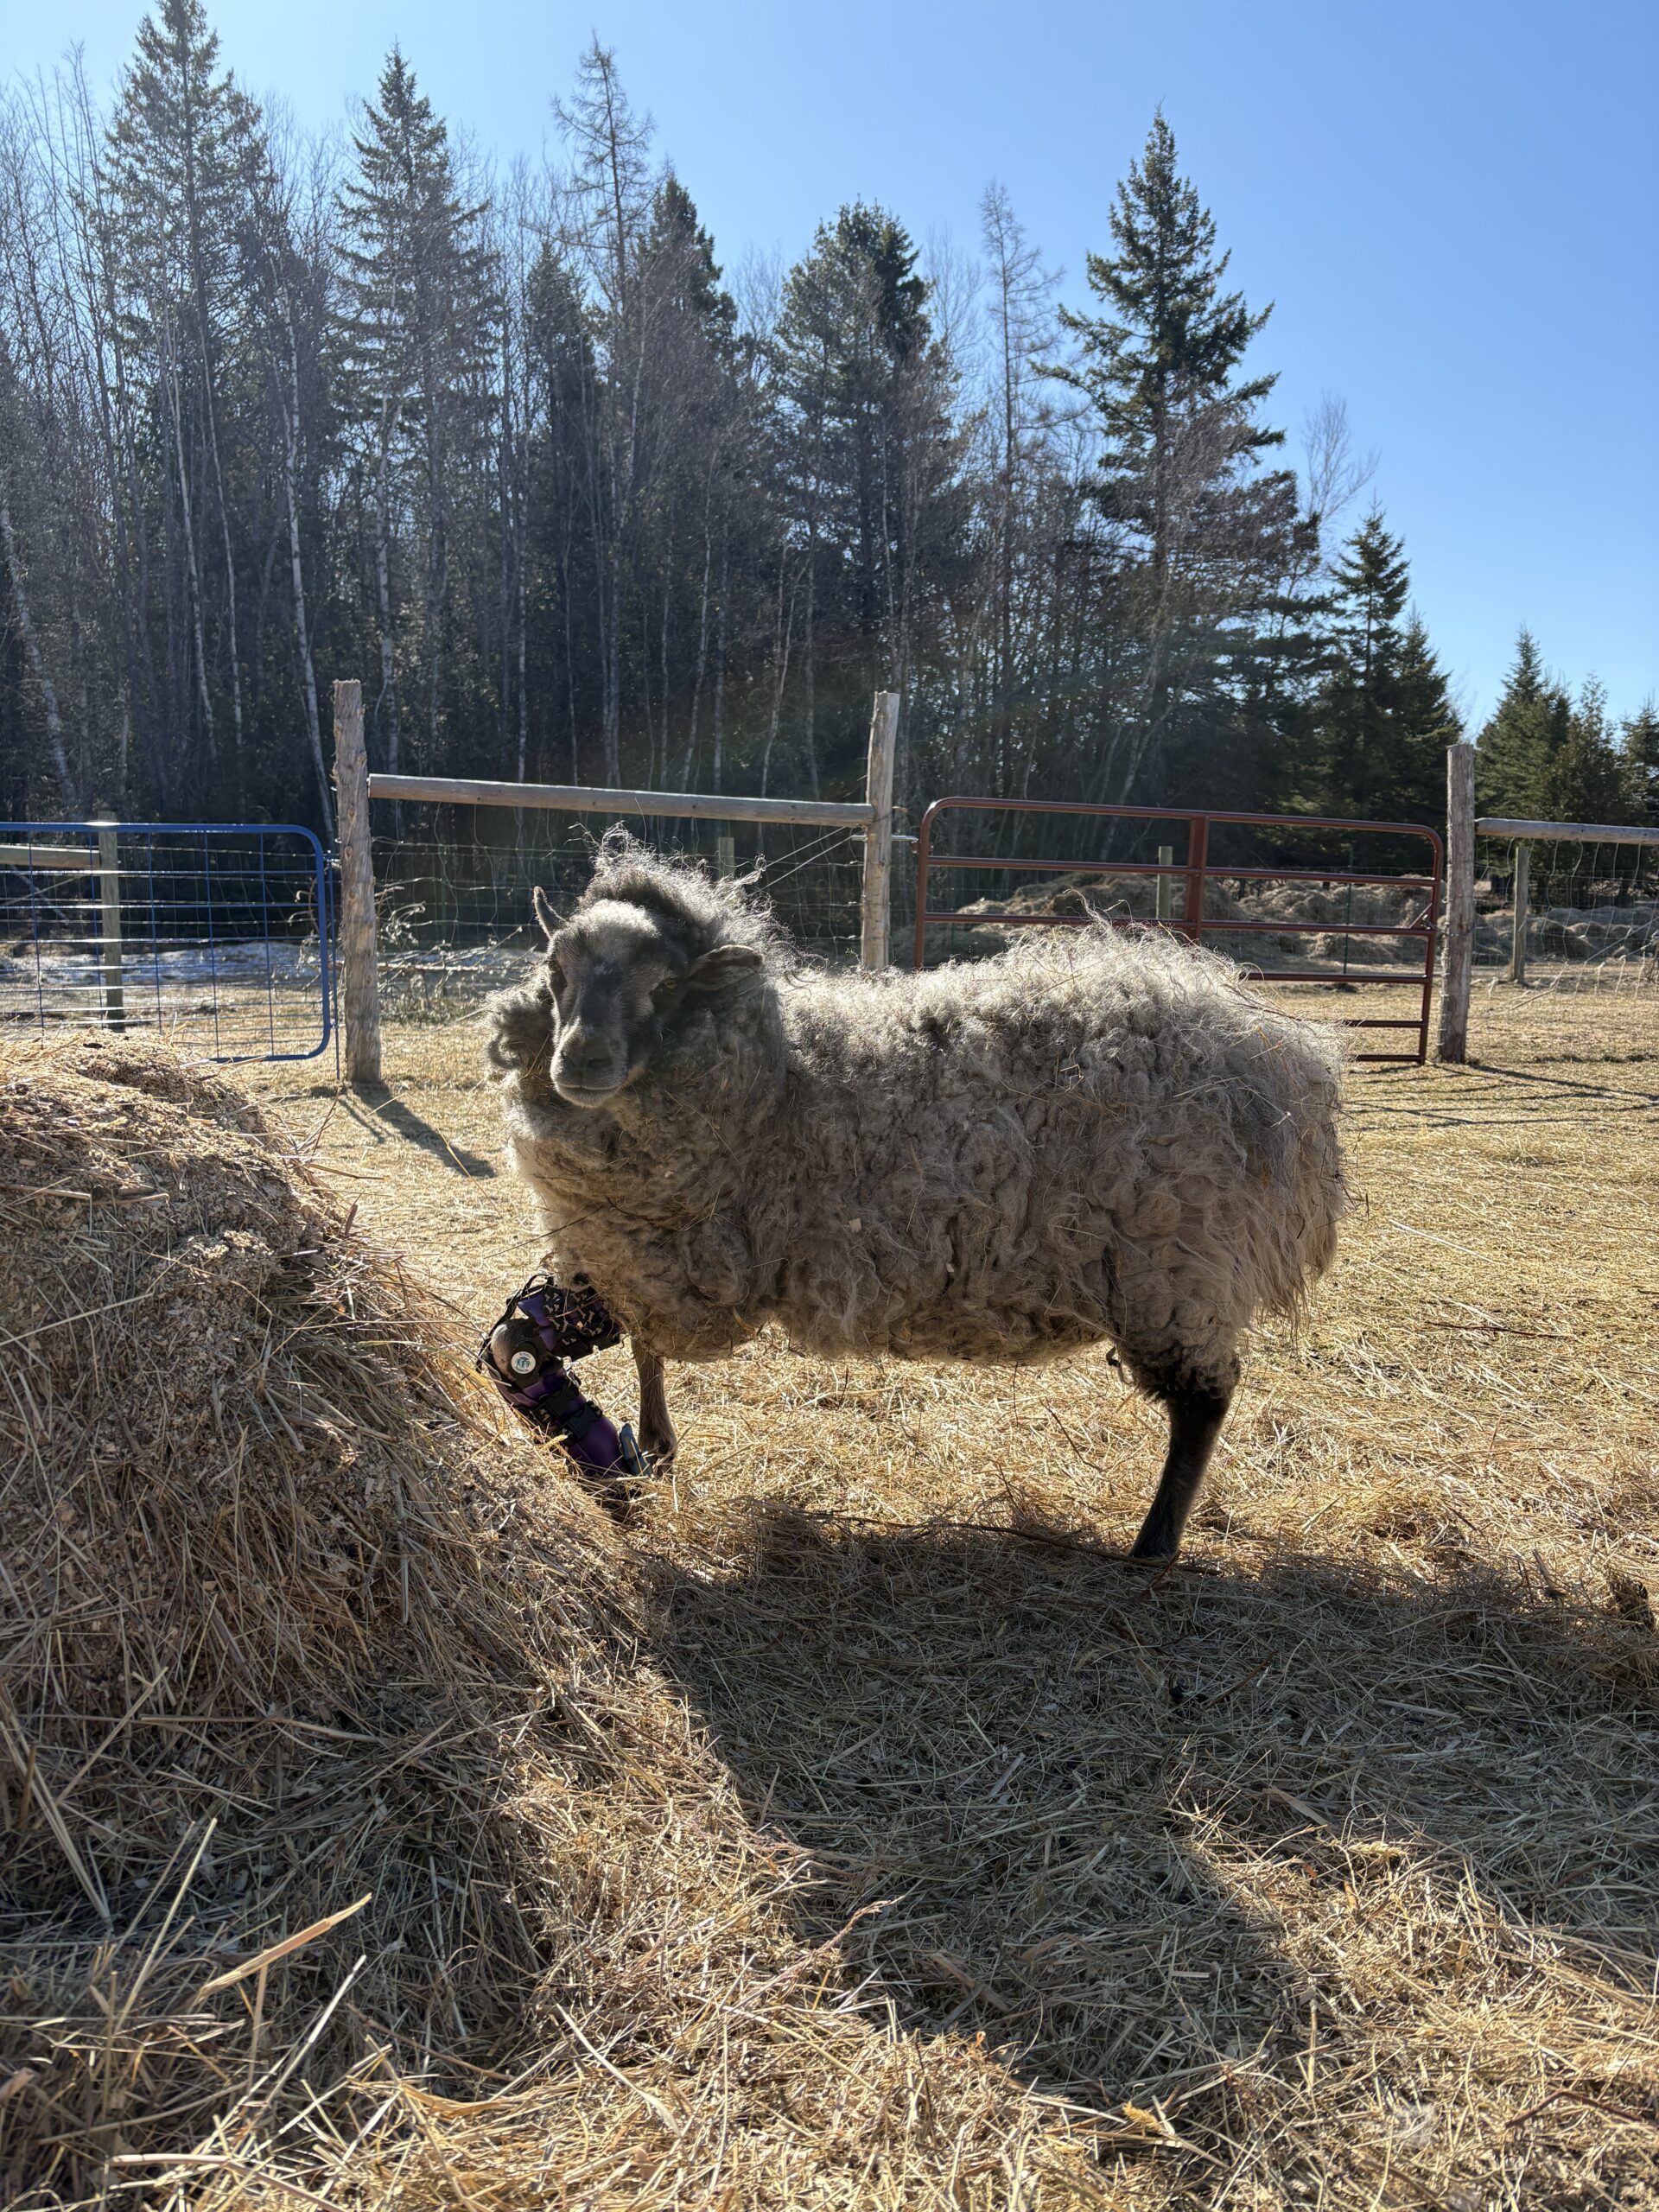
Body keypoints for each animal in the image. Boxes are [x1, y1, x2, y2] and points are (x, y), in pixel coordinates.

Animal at [485, 837, 1347, 1560]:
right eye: (555, 972)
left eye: (663, 984)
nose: (578, 1059)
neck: (777, 1079)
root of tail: (1281, 1059)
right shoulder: (635, 1255)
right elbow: (606, 1347)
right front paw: (645, 1454)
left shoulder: (679, 1255)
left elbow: (607, 1345)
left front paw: (643, 1454)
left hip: (1174, 1271)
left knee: (1205, 1403)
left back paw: (1153, 1548)